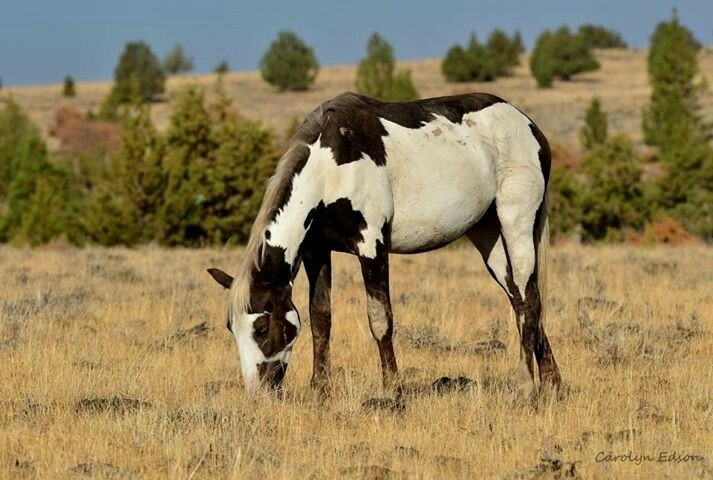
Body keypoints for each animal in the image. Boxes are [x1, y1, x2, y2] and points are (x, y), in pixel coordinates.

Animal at [208, 91, 562, 398]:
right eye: (231, 327)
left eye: (262, 327)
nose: (257, 393)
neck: (332, 166)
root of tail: (529, 125)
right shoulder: (316, 251)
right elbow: (320, 318)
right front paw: (320, 391)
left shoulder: (372, 246)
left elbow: (380, 319)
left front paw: (392, 390)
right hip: (487, 234)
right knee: (520, 298)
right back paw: (552, 383)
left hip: (516, 222)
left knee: (529, 298)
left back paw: (526, 385)